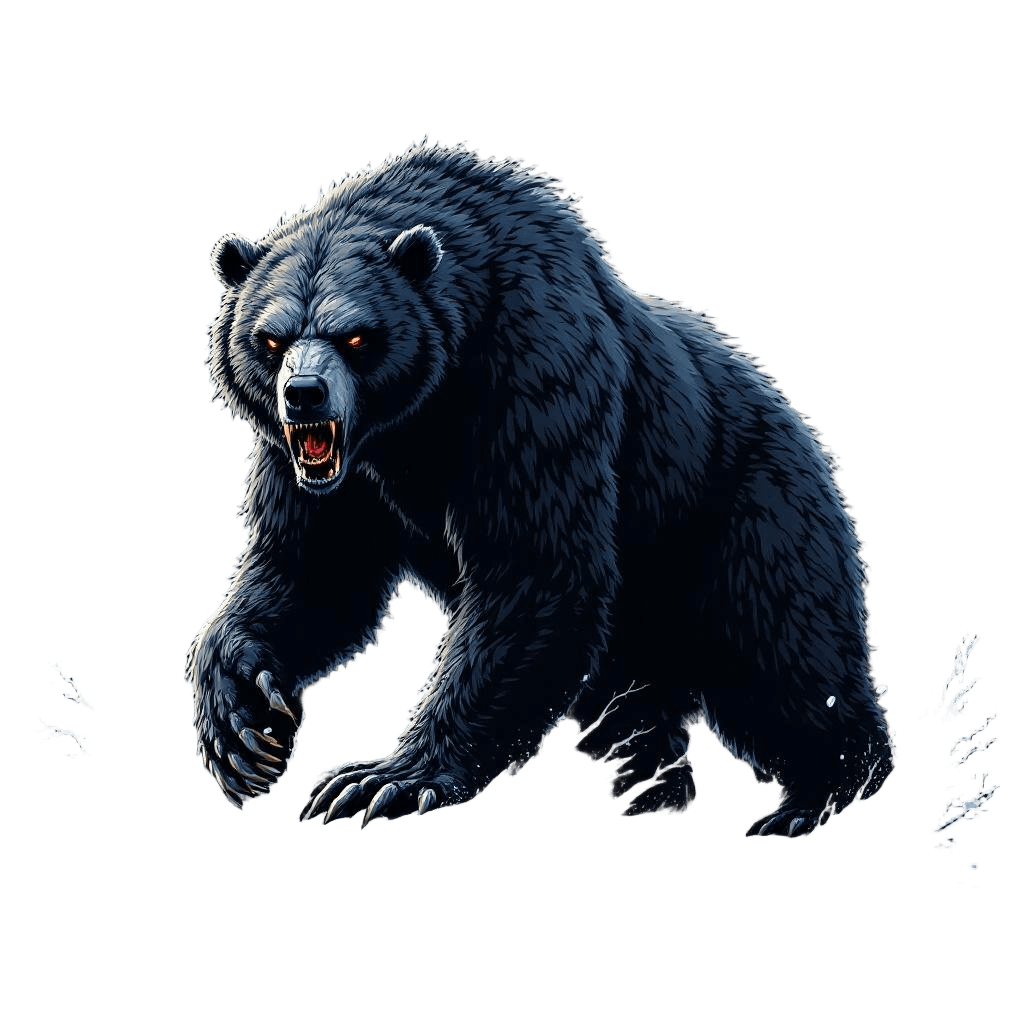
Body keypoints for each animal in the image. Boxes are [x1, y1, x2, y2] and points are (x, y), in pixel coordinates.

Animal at [188, 138, 896, 837]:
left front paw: (383, 778)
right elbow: (313, 571)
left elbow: (534, 570)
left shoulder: (534, 380)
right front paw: (243, 726)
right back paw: (643, 770)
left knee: (781, 649)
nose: (304, 394)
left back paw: (814, 790)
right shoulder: (334, 474)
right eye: (269, 338)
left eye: (357, 334)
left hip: (744, 509)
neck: (413, 424)